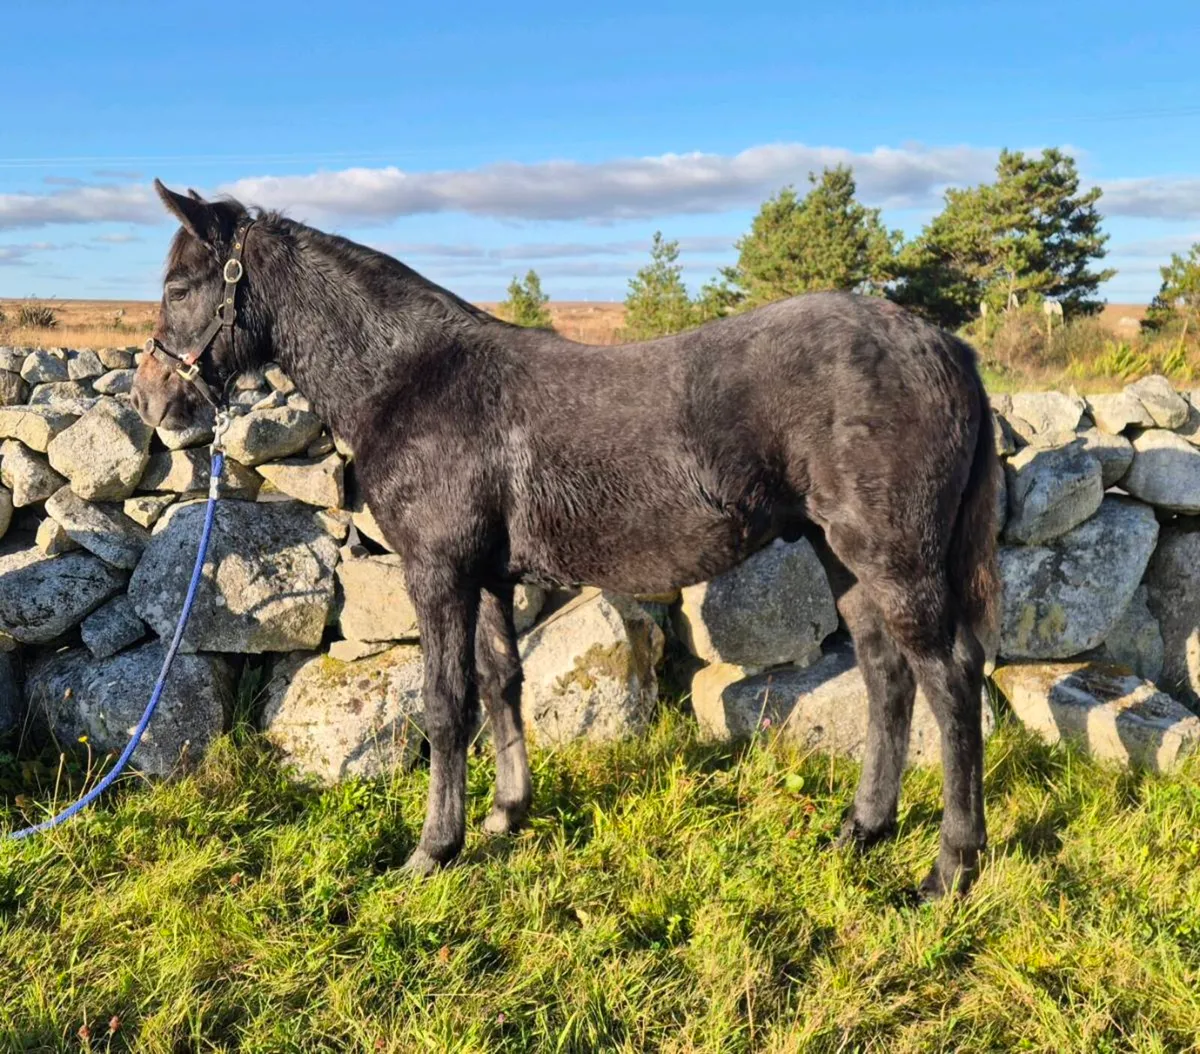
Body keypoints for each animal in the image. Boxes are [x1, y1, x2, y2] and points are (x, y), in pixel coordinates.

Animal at [132, 181, 999, 899]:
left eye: (179, 287)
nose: (152, 399)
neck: (413, 380)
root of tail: (949, 348)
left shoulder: (438, 573)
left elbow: (445, 704)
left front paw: (431, 851)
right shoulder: (485, 575)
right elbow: (500, 684)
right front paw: (505, 814)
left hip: (893, 559)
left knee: (951, 680)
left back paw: (950, 870)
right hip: (840, 556)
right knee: (888, 676)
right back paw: (863, 828)